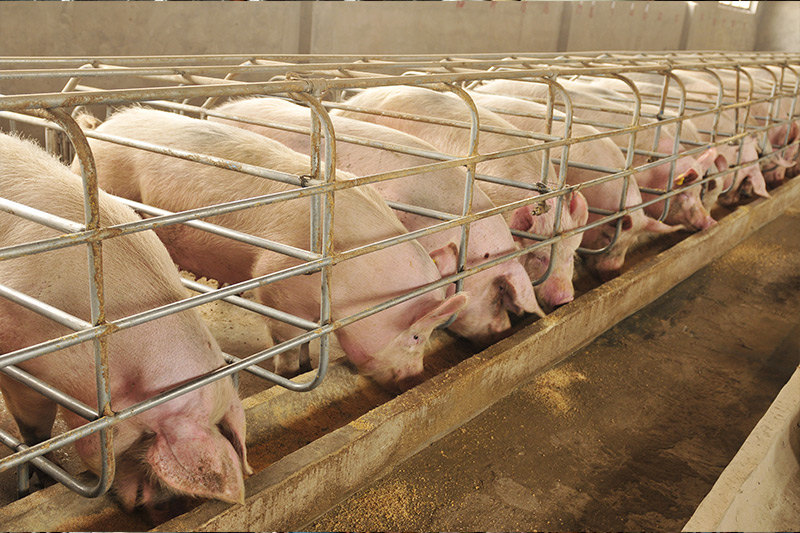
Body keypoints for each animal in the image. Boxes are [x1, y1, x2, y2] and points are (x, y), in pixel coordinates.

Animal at [79, 107, 468, 390]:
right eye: (416, 335)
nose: (415, 376)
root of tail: (102, 126)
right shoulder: (274, 278)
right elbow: (287, 338)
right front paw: (291, 374)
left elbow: (307, 340)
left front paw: (308, 363)